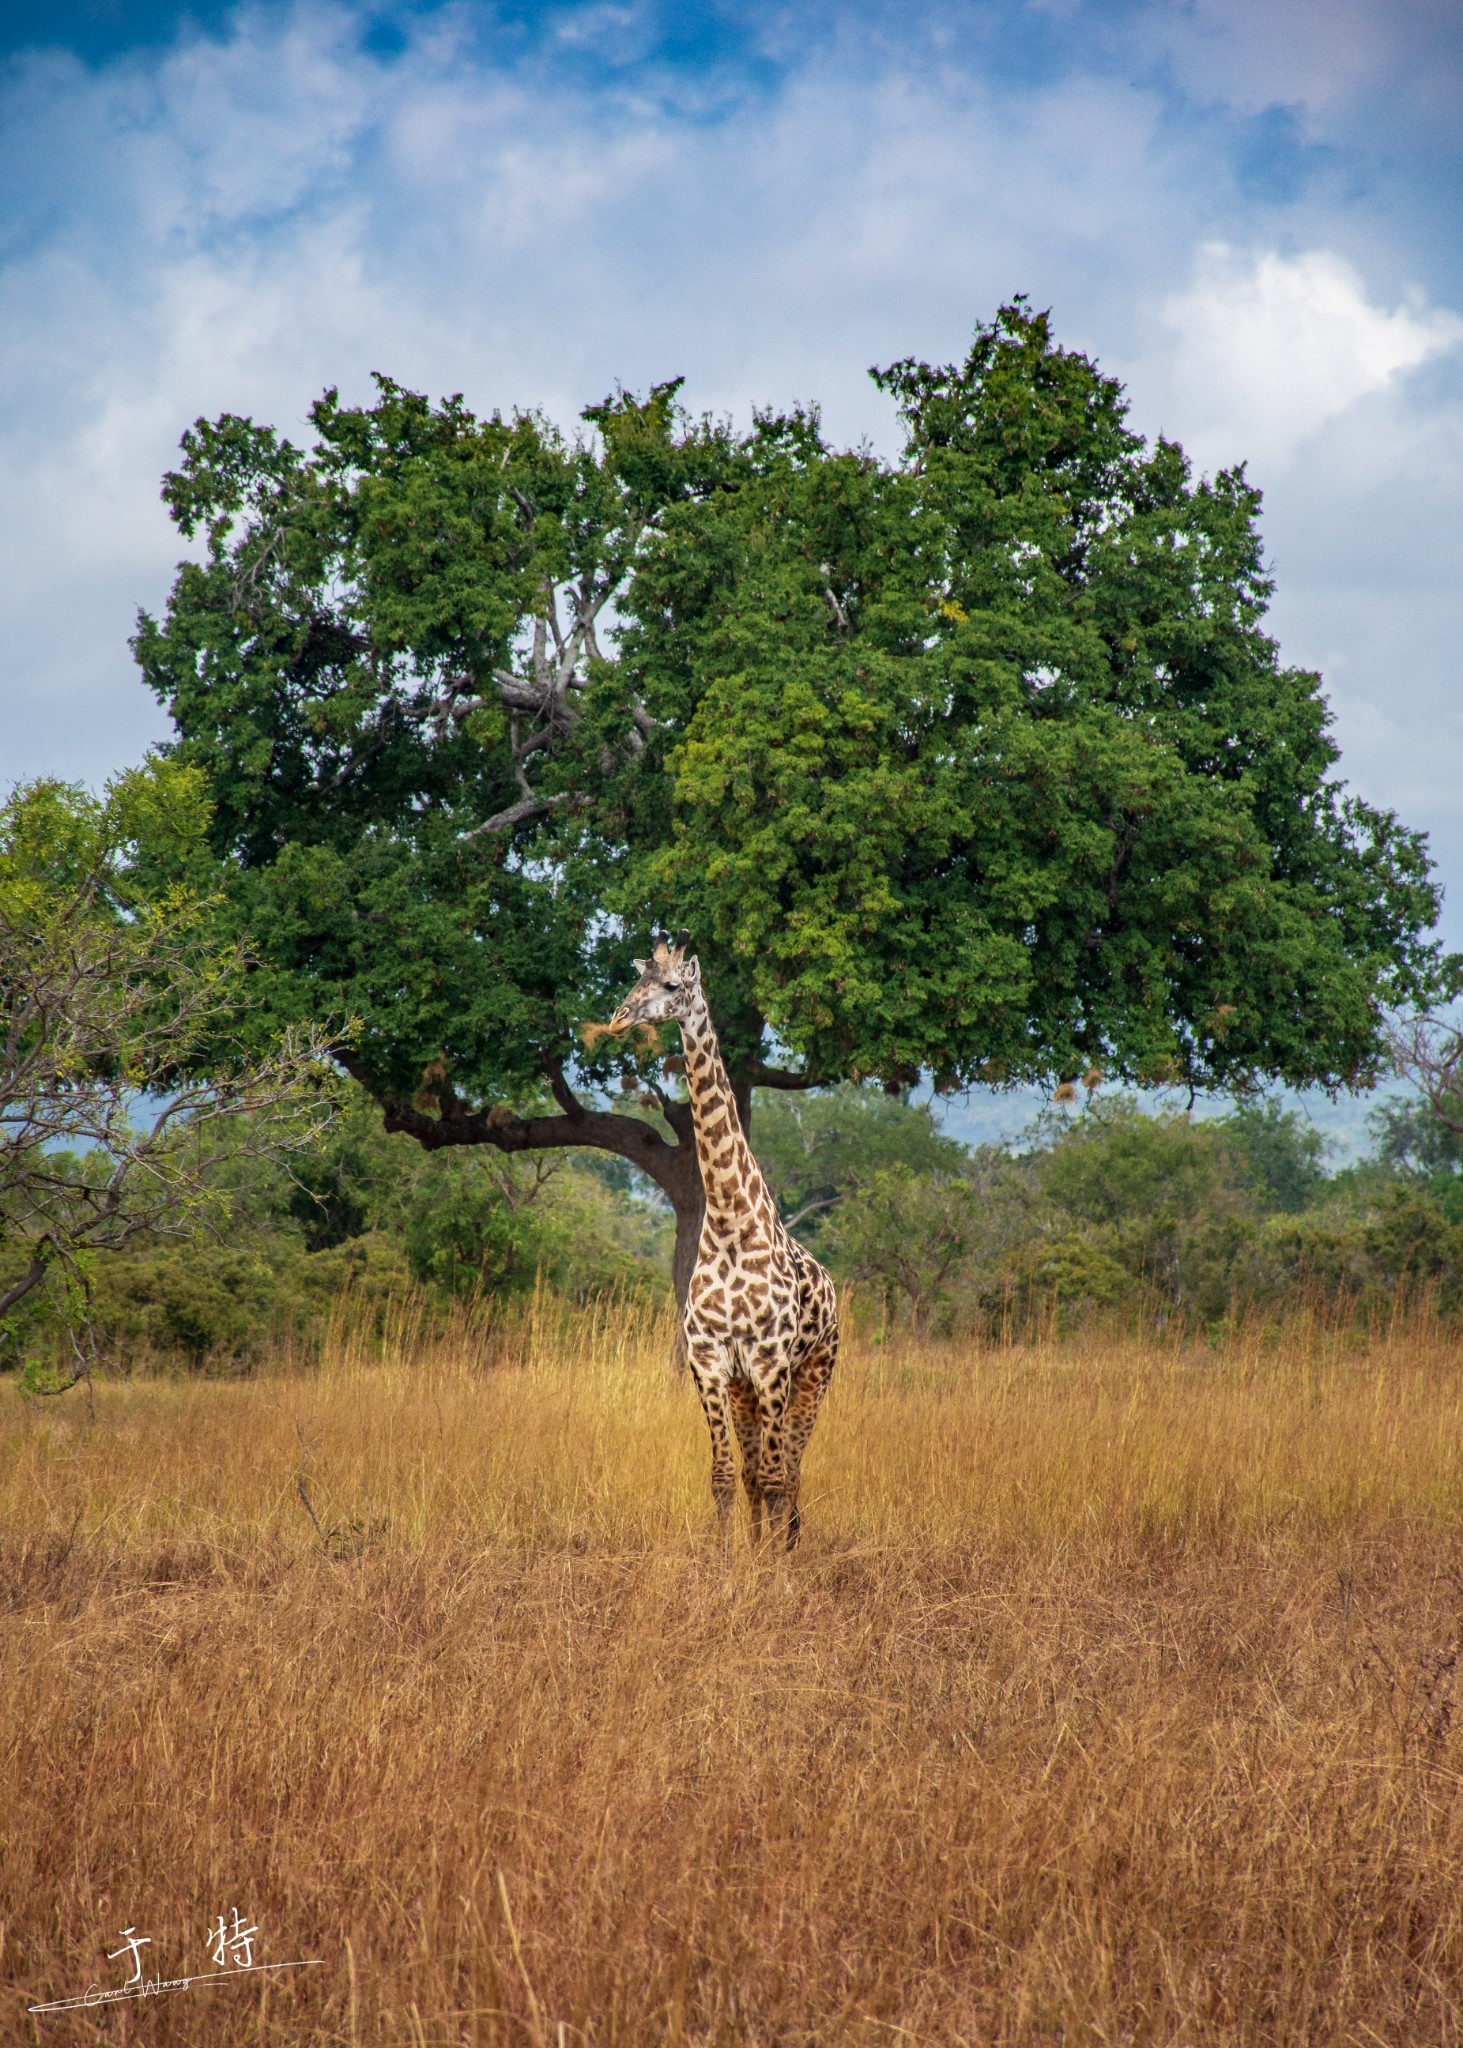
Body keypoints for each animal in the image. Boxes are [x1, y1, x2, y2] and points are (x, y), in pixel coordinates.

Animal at [602, 937, 831, 1540]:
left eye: (672, 985)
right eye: (637, 979)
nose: (618, 1017)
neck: (729, 1220)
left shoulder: (771, 1362)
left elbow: (772, 1478)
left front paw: (770, 1562)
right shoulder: (709, 1360)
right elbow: (727, 1476)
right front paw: (732, 1557)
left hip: (814, 1373)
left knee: (791, 1471)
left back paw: (787, 1542)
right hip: (745, 1386)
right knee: (758, 1470)